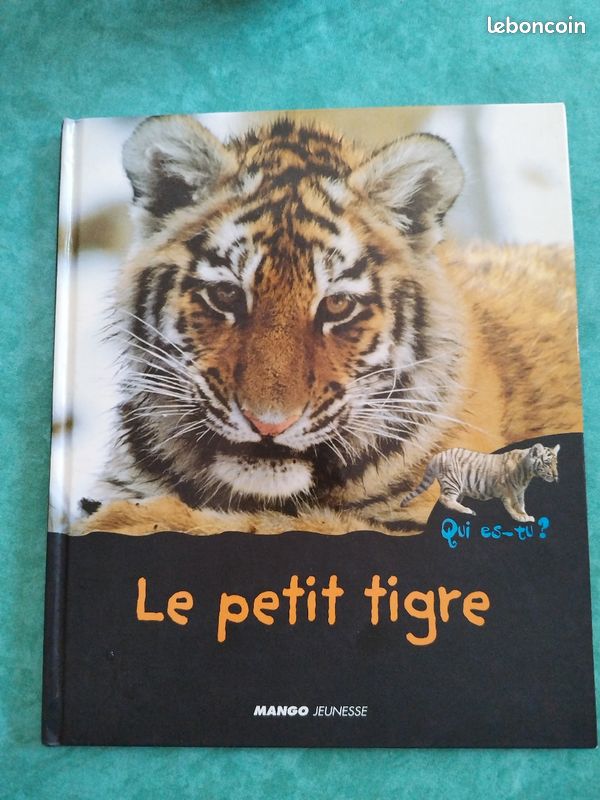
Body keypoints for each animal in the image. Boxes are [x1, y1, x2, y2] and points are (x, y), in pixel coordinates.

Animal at [401, 443, 560, 522]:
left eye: (556, 463)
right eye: (547, 463)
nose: (556, 476)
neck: (528, 473)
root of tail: (437, 456)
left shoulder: (520, 492)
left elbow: (521, 505)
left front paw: (525, 515)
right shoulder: (509, 491)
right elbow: (514, 506)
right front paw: (521, 517)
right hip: (453, 482)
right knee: (444, 498)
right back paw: (467, 510)